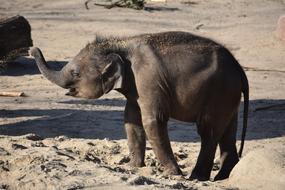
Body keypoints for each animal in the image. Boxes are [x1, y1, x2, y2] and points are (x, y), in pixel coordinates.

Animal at [32, 31, 247, 181]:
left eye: (76, 73)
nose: (33, 49)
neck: (121, 45)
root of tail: (240, 69)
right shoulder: (135, 86)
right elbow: (131, 121)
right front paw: (134, 168)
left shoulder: (148, 79)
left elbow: (152, 121)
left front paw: (173, 174)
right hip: (228, 96)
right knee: (228, 130)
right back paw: (223, 176)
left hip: (220, 91)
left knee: (208, 131)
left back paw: (197, 178)